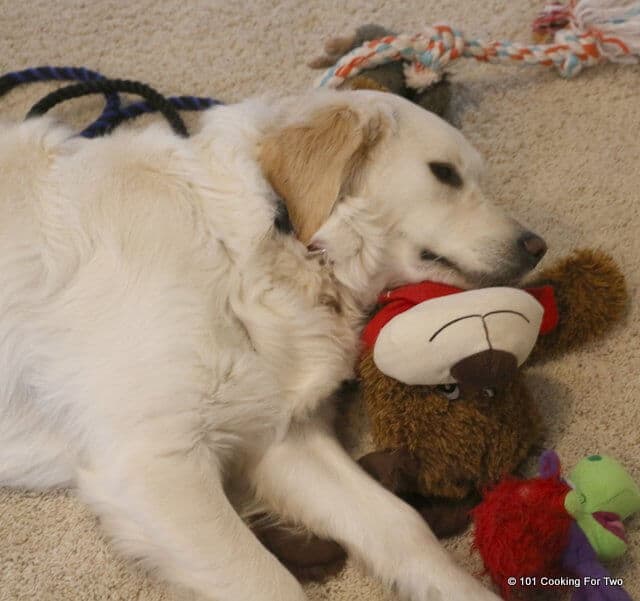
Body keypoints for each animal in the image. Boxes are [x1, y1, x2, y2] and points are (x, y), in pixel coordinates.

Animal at [0, 90, 544, 600]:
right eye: (444, 174)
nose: (538, 246)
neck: (266, 244)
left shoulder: (279, 435)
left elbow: (400, 524)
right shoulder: (152, 462)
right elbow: (270, 582)